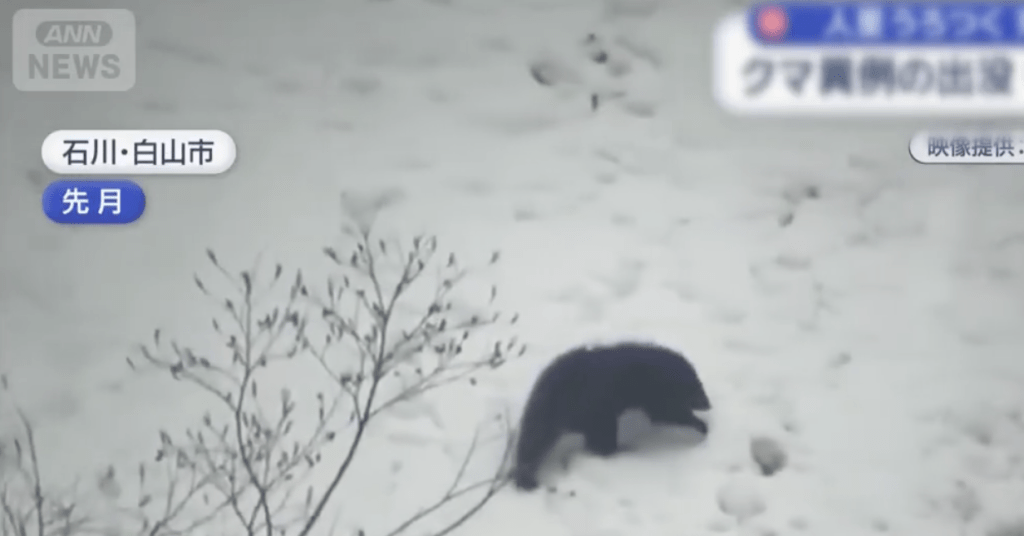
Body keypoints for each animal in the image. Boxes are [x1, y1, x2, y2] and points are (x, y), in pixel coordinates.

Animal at [512, 341, 711, 491]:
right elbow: (664, 413)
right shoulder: (651, 392)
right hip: (595, 411)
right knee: (600, 440)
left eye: (700, 384)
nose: (708, 403)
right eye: (696, 388)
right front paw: (701, 425)